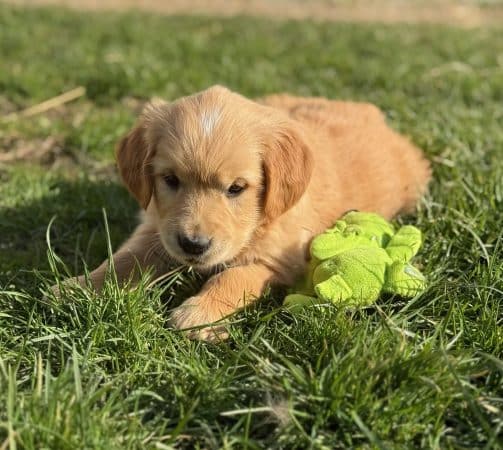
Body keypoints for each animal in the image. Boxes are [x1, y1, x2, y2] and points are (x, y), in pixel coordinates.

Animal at [67, 84, 432, 340]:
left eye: (236, 188)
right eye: (170, 180)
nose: (193, 245)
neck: (257, 223)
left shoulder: (280, 260)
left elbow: (233, 276)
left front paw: (199, 313)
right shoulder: (157, 227)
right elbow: (123, 260)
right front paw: (79, 287)